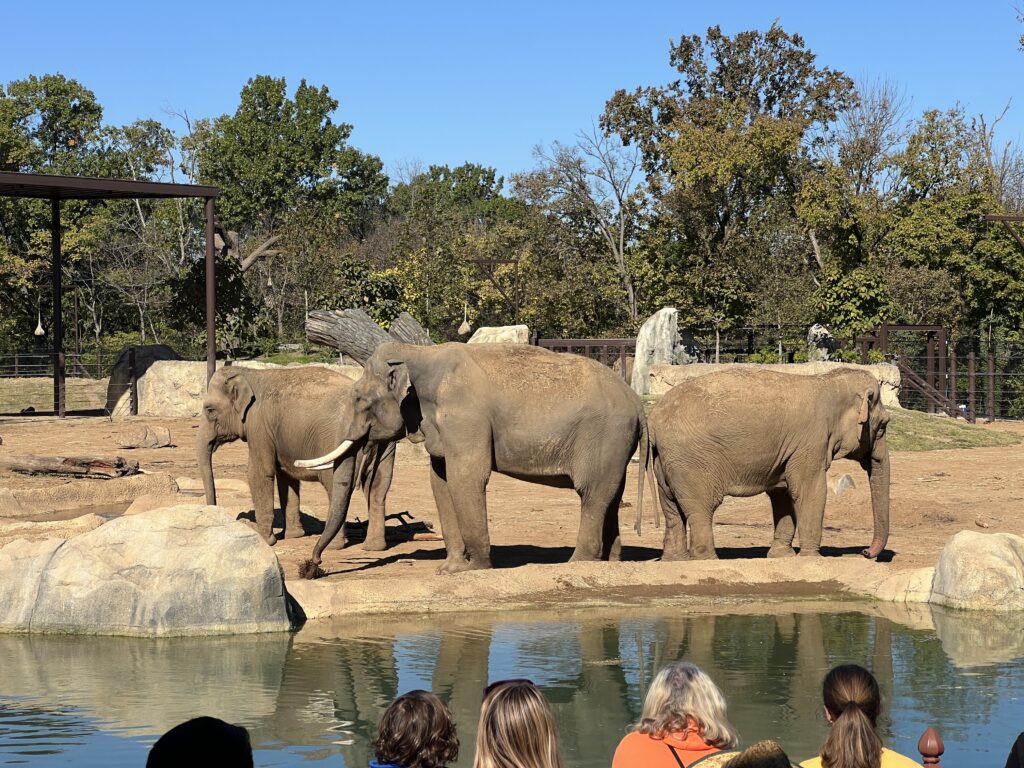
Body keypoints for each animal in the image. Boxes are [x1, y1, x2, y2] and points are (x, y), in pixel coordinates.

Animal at [196, 366, 395, 561]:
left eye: (210, 410)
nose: (213, 509)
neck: (248, 372)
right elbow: (286, 476)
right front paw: (294, 536)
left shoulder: (259, 426)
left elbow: (259, 473)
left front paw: (267, 540)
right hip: (385, 444)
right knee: (378, 488)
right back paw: (374, 547)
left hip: (336, 443)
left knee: (336, 488)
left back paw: (335, 546)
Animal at [296, 344, 647, 577]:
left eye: (358, 399)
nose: (312, 566)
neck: (420, 353)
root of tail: (636, 401)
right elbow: (440, 482)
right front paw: (448, 569)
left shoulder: (465, 418)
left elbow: (467, 478)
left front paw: (473, 569)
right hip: (616, 446)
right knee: (611, 497)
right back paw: (612, 562)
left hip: (604, 437)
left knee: (592, 495)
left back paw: (578, 563)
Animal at [647, 366, 888, 561]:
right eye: (884, 425)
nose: (865, 553)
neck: (827, 382)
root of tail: (653, 420)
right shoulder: (810, 443)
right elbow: (809, 490)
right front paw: (812, 557)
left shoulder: (789, 450)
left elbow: (782, 493)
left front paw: (782, 556)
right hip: (691, 462)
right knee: (701, 508)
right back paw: (706, 559)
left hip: (666, 462)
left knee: (671, 507)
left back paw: (674, 560)